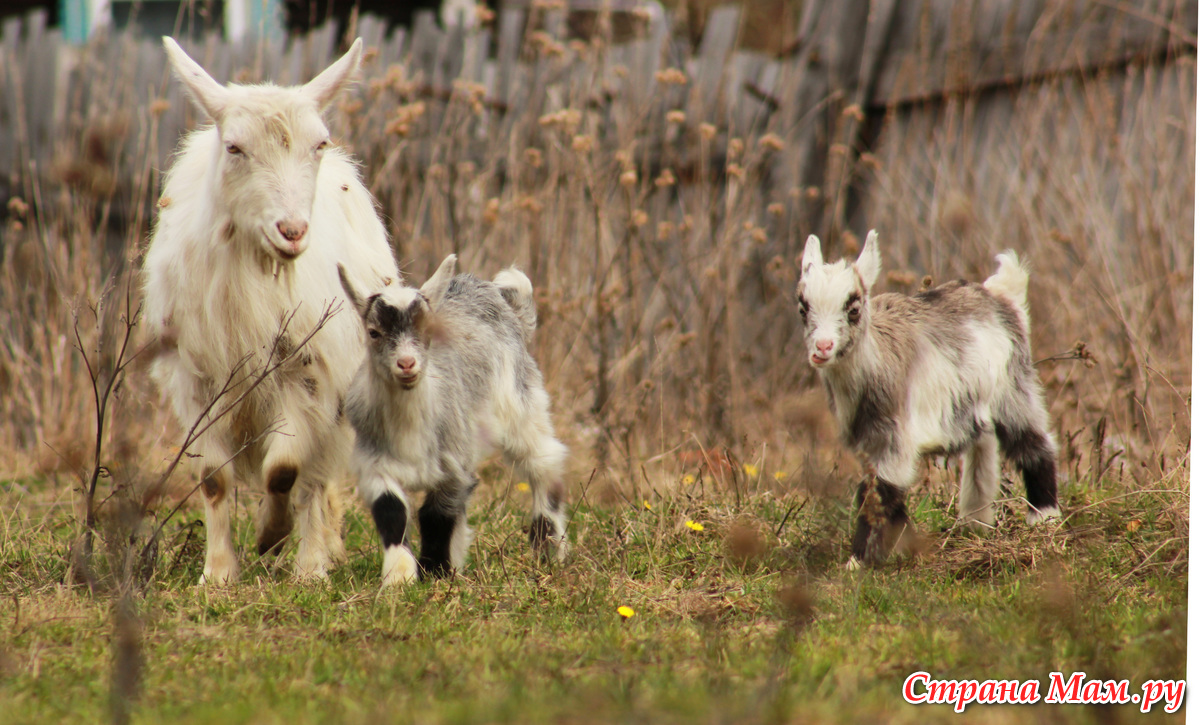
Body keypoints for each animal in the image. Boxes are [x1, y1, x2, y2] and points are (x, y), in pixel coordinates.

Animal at [144, 38, 398, 583]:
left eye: (318, 144)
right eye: (235, 148)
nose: (293, 231)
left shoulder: (303, 370)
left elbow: (284, 470)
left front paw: (271, 534)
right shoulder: (196, 380)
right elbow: (214, 480)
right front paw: (217, 575)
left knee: (314, 478)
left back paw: (312, 564)